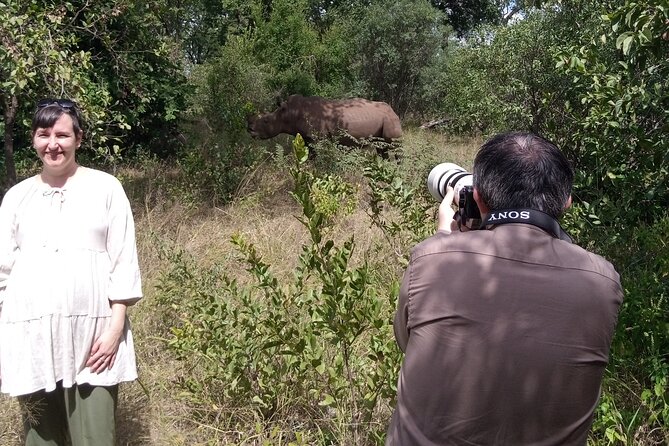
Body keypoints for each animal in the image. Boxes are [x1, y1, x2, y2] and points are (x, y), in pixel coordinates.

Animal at [247, 95, 402, 158]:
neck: (289, 113)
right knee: (381, 147)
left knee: (395, 146)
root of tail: (393, 110)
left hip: (391, 119)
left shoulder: (317, 139)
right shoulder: (307, 139)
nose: (250, 129)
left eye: (266, 121)